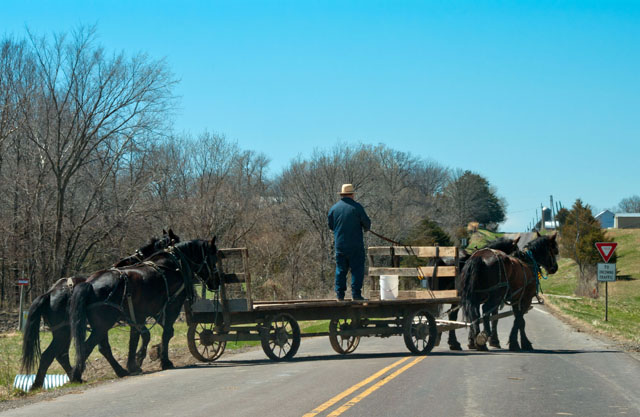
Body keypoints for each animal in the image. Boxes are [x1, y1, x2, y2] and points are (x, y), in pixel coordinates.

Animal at [70, 236, 220, 382]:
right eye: (214, 258)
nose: (217, 281)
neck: (172, 265)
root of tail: (89, 283)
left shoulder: (142, 315)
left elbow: (136, 338)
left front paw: (135, 363)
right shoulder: (171, 307)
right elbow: (165, 333)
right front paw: (164, 361)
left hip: (100, 326)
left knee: (102, 348)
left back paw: (119, 371)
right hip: (103, 325)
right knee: (87, 347)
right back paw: (76, 376)